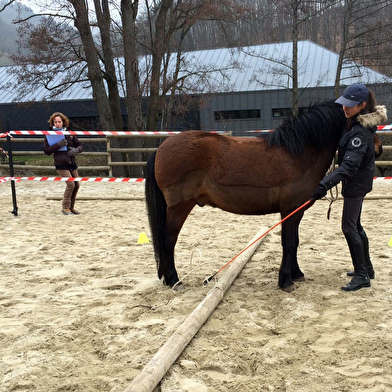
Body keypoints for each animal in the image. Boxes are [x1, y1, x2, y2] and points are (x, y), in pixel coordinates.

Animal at [146, 101, 346, 290]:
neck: (299, 153)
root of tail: (160, 149)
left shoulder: (297, 211)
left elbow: (295, 241)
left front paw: (296, 274)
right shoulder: (290, 209)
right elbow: (288, 242)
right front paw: (286, 280)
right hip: (179, 207)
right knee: (168, 239)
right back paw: (174, 281)